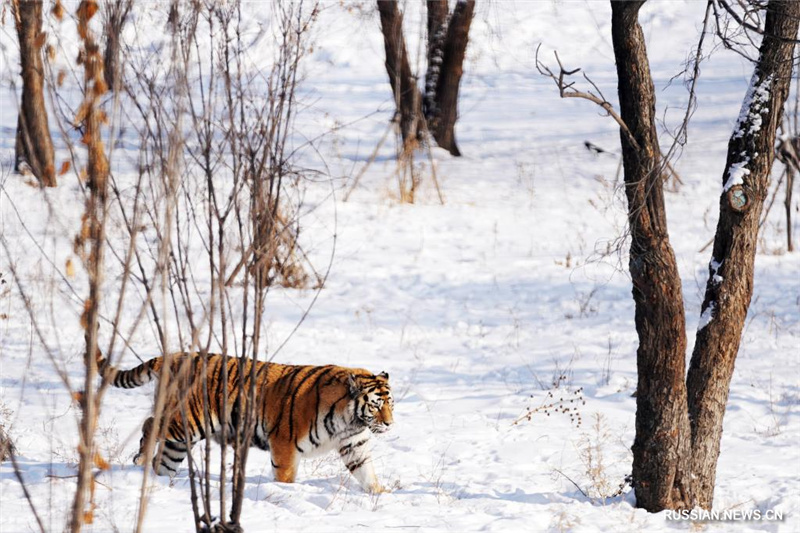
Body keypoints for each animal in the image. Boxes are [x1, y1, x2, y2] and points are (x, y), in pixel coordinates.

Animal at [100, 352, 394, 492]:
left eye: (391, 404)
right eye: (376, 405)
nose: (390, 424)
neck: (350, 419)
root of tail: (174, 355)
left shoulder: (354, 445)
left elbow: (366, 473)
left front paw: (380, 493)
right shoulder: (285, 443)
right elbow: (285, 476)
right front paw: (286, 491)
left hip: (182, 436)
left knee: (162, 455)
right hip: (188, 422)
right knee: (151, 424)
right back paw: (141, 460)